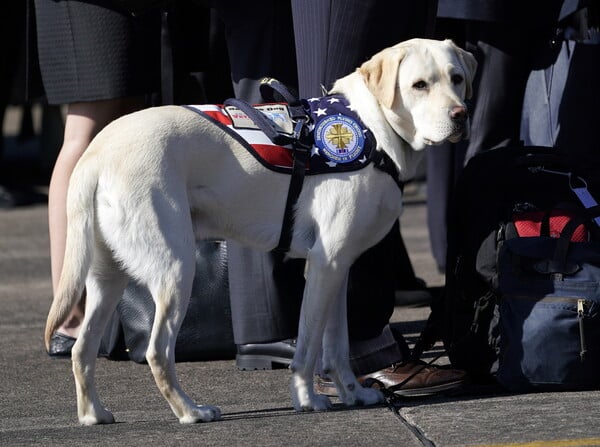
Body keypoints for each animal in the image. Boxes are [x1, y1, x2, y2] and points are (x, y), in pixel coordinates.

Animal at [44, 37, 476, 424]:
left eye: (456, 78)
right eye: (419, 85)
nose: (460, 115)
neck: (370, 127)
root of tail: (96, 152)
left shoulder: (338, 269)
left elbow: (336, 346)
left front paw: (353, 393)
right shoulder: (324, 264)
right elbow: (308, 347)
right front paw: (307, 400)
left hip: (107, 279)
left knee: (82, 351)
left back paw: (94, 415)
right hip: (175, 270)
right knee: (157, 352)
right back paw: (190, 411)